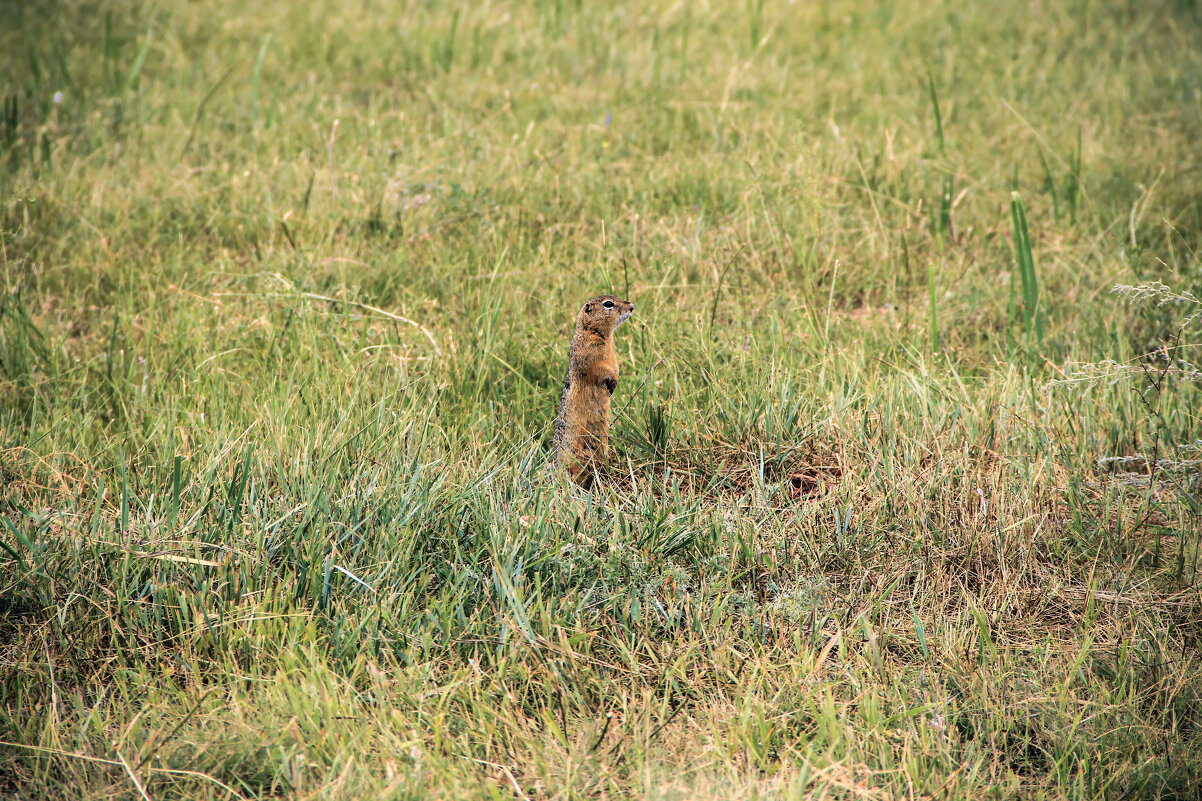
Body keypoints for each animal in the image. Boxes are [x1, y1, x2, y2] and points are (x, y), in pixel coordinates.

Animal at [550, 294, 634, 485]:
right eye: (608, 304)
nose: (632, 306)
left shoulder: (612, 355)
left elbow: (615, 367)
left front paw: (615, 382)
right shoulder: (590, 355)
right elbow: (599, 369)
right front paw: (611, 382)